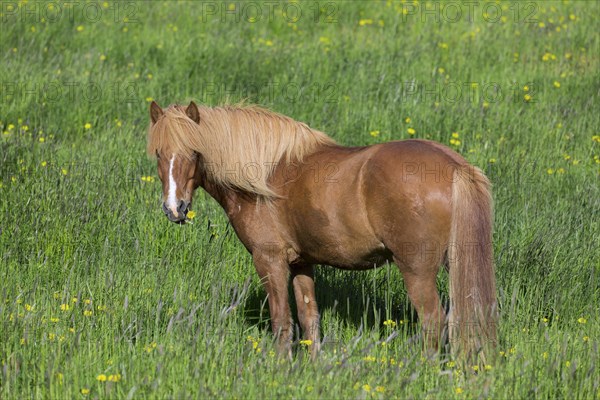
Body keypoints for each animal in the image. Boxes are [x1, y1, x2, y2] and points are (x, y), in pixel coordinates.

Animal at [146, 101, 496, 362]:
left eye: (194, 152)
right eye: (159, 154)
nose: (174, 208)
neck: (266, 176)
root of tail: (454, 167)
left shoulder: (269, 260)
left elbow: (281, 320)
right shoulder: (302, 263)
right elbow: (308, 317)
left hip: (417, 270)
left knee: (433, 320)